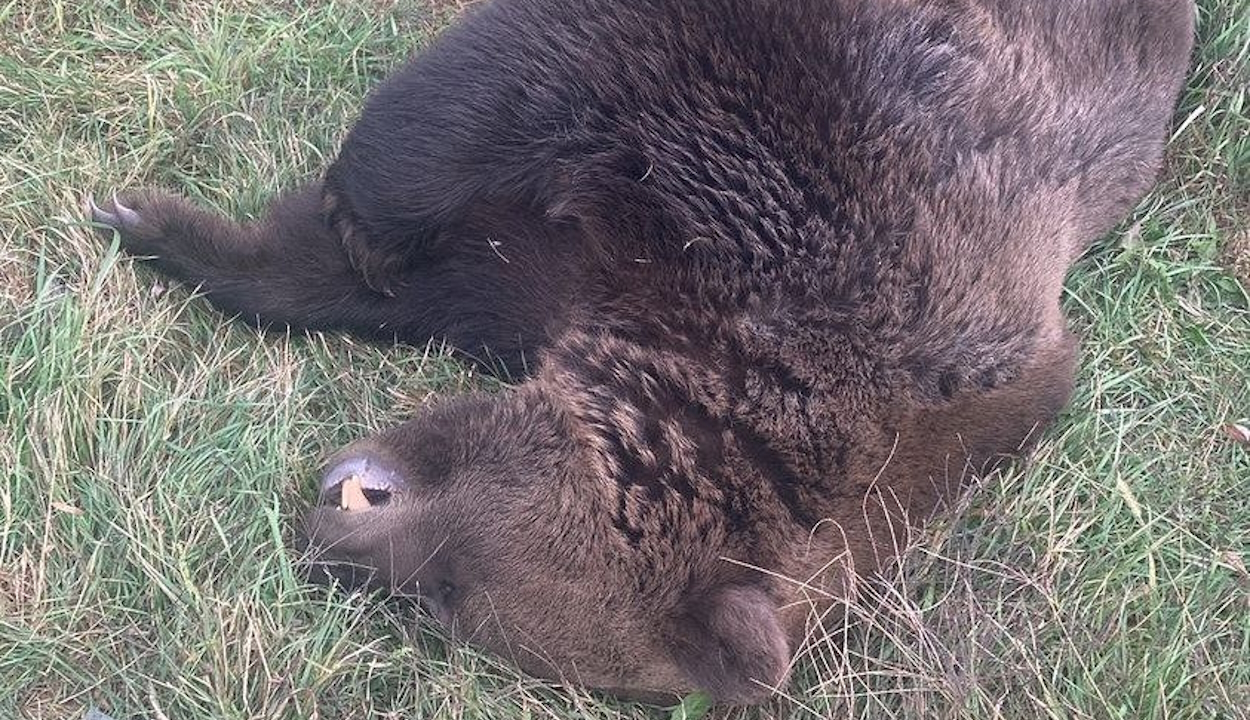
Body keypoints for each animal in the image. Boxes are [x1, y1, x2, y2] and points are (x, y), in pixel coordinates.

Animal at [88, 0, 1190, 710]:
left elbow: (424, 272)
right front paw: (174, 221)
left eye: (446, 603)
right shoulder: (783, 133)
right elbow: (473, 110)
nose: (321, 530)